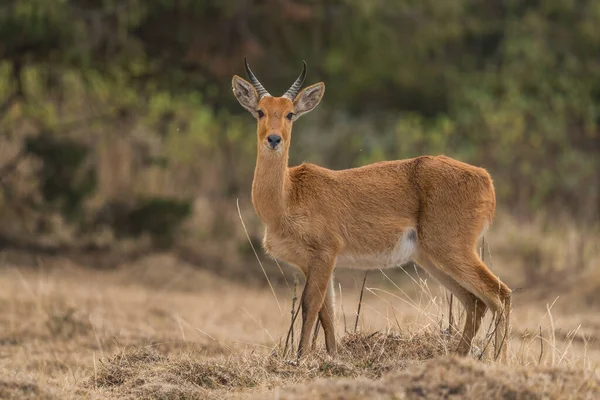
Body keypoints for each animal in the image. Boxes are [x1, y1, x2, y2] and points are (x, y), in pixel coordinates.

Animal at [230, 58, 510, 362]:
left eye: (290, 114)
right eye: (260, 111)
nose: (273, 139)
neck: (288, 195)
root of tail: (486, 178)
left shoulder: (324, 255)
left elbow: (310, 305)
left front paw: (301, 358)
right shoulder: (313, 263)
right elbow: (327, 313)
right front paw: (333, 357)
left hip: (452, 250)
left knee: (500, 294)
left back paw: (499, 360)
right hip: (431, 259)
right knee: (475, 301)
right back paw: (458, 357)